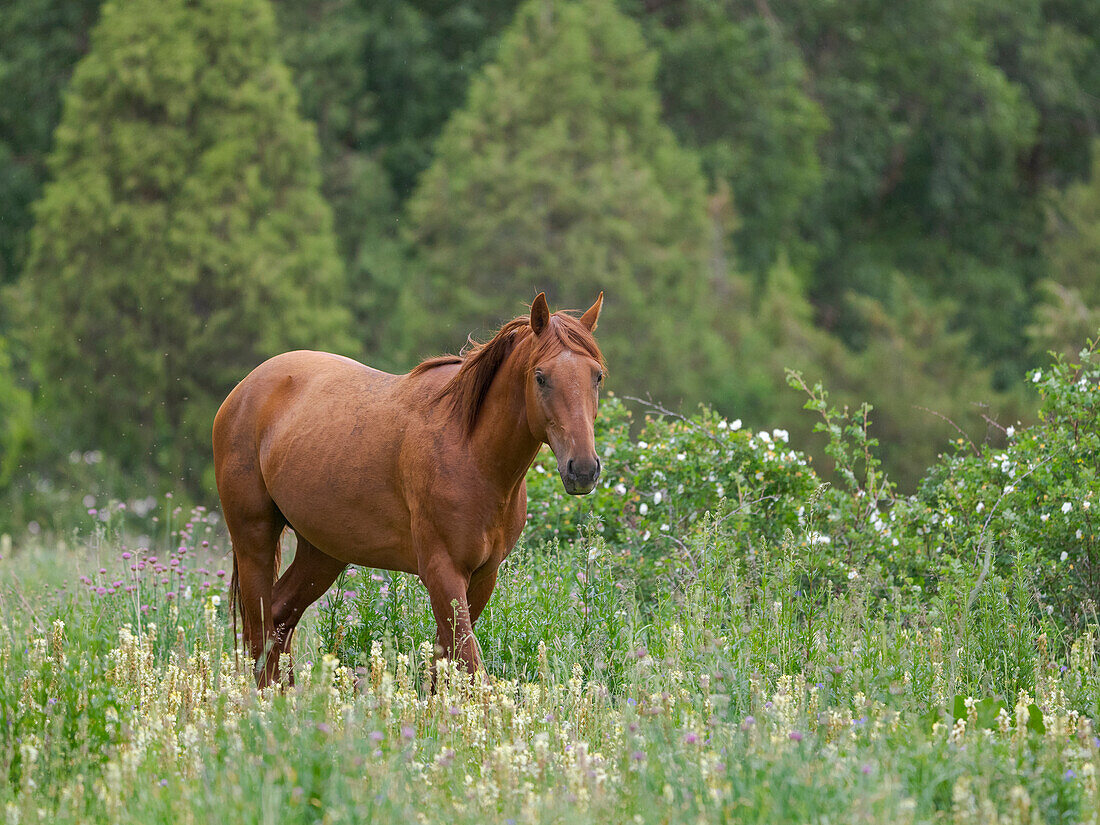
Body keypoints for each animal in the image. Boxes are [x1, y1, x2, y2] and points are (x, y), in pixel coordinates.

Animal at [210, 294, 607, 686]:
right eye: (541, 377)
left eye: (597, 376)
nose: (583, 469)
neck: (471, 451)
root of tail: (244, 389)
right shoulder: (443, 572)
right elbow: (468, 666)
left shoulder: (482, 577)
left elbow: (444, 664)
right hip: (254, 540)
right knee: (260, 631)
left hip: (322, 552)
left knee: (279, 619)